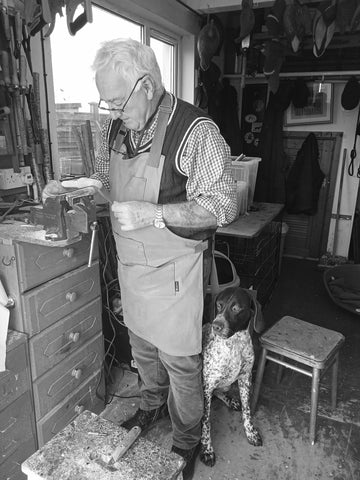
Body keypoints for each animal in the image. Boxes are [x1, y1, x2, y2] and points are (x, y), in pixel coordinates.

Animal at [200, 286, 264, 466]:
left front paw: (251, 432)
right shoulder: (207, 385)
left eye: (236, 308)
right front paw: (207, 449)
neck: (234, 344)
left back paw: (231, 401)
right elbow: (206, 421)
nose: (216, 325)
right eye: (219, 305)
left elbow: (247, 411)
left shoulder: (245, 379)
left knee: (220, 392)